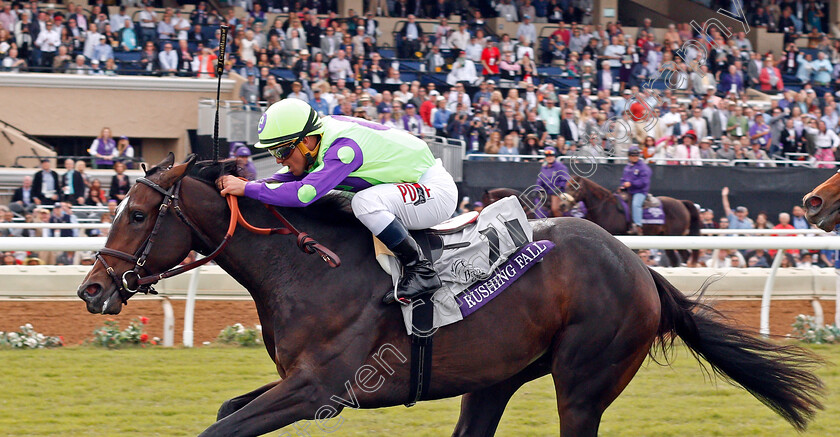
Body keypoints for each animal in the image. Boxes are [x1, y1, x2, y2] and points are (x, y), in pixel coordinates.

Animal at [556, 175, 704, 266]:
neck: (606, 207)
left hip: (673, 236)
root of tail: (681, 202)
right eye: (566, 186)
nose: (562, 205)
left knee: (681, 256)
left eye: (574, 187)